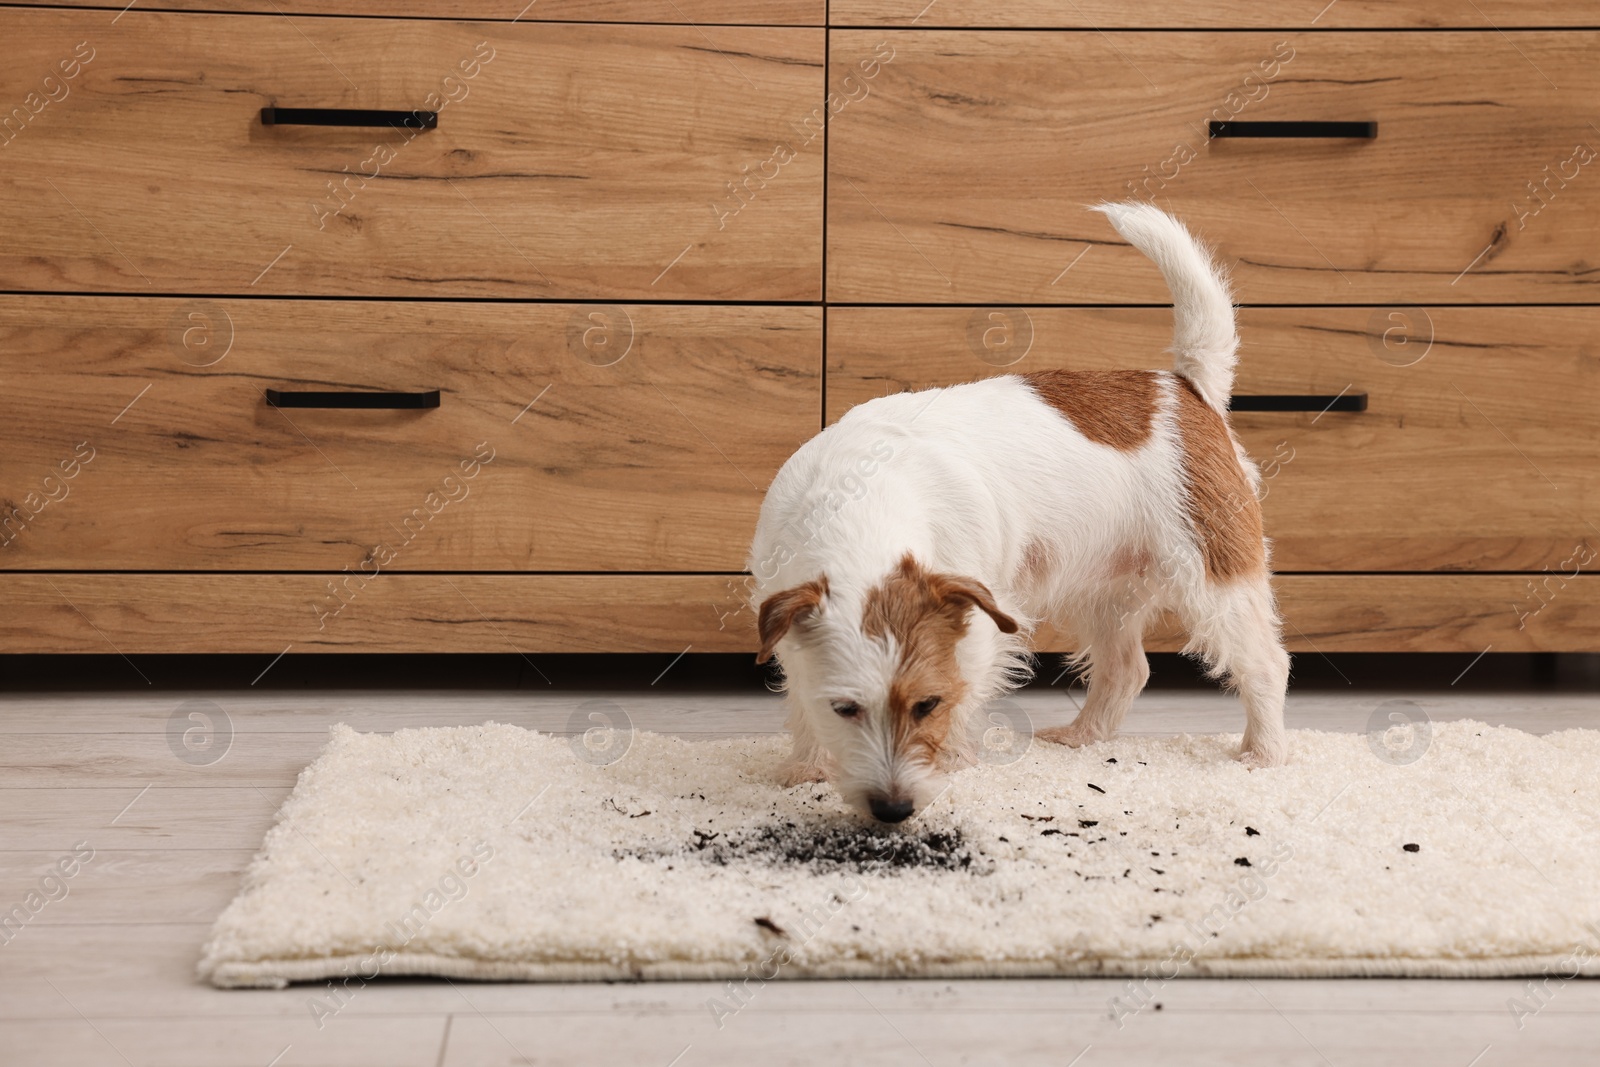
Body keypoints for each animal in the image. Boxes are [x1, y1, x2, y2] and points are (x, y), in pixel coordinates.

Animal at [745, 199, 1286, 825]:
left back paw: (1263, 755)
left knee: (1266, 665)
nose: (893, 809)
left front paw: (952, 763)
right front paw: (806, 767)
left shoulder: (978, 634)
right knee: (1127, 669)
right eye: (844, 708)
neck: (861, 509)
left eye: (928, 705)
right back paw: (1082, 738)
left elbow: (967, 695)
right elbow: (801, 698)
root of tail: (1186, 386)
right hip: (1106, 591)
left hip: (1214, 580)